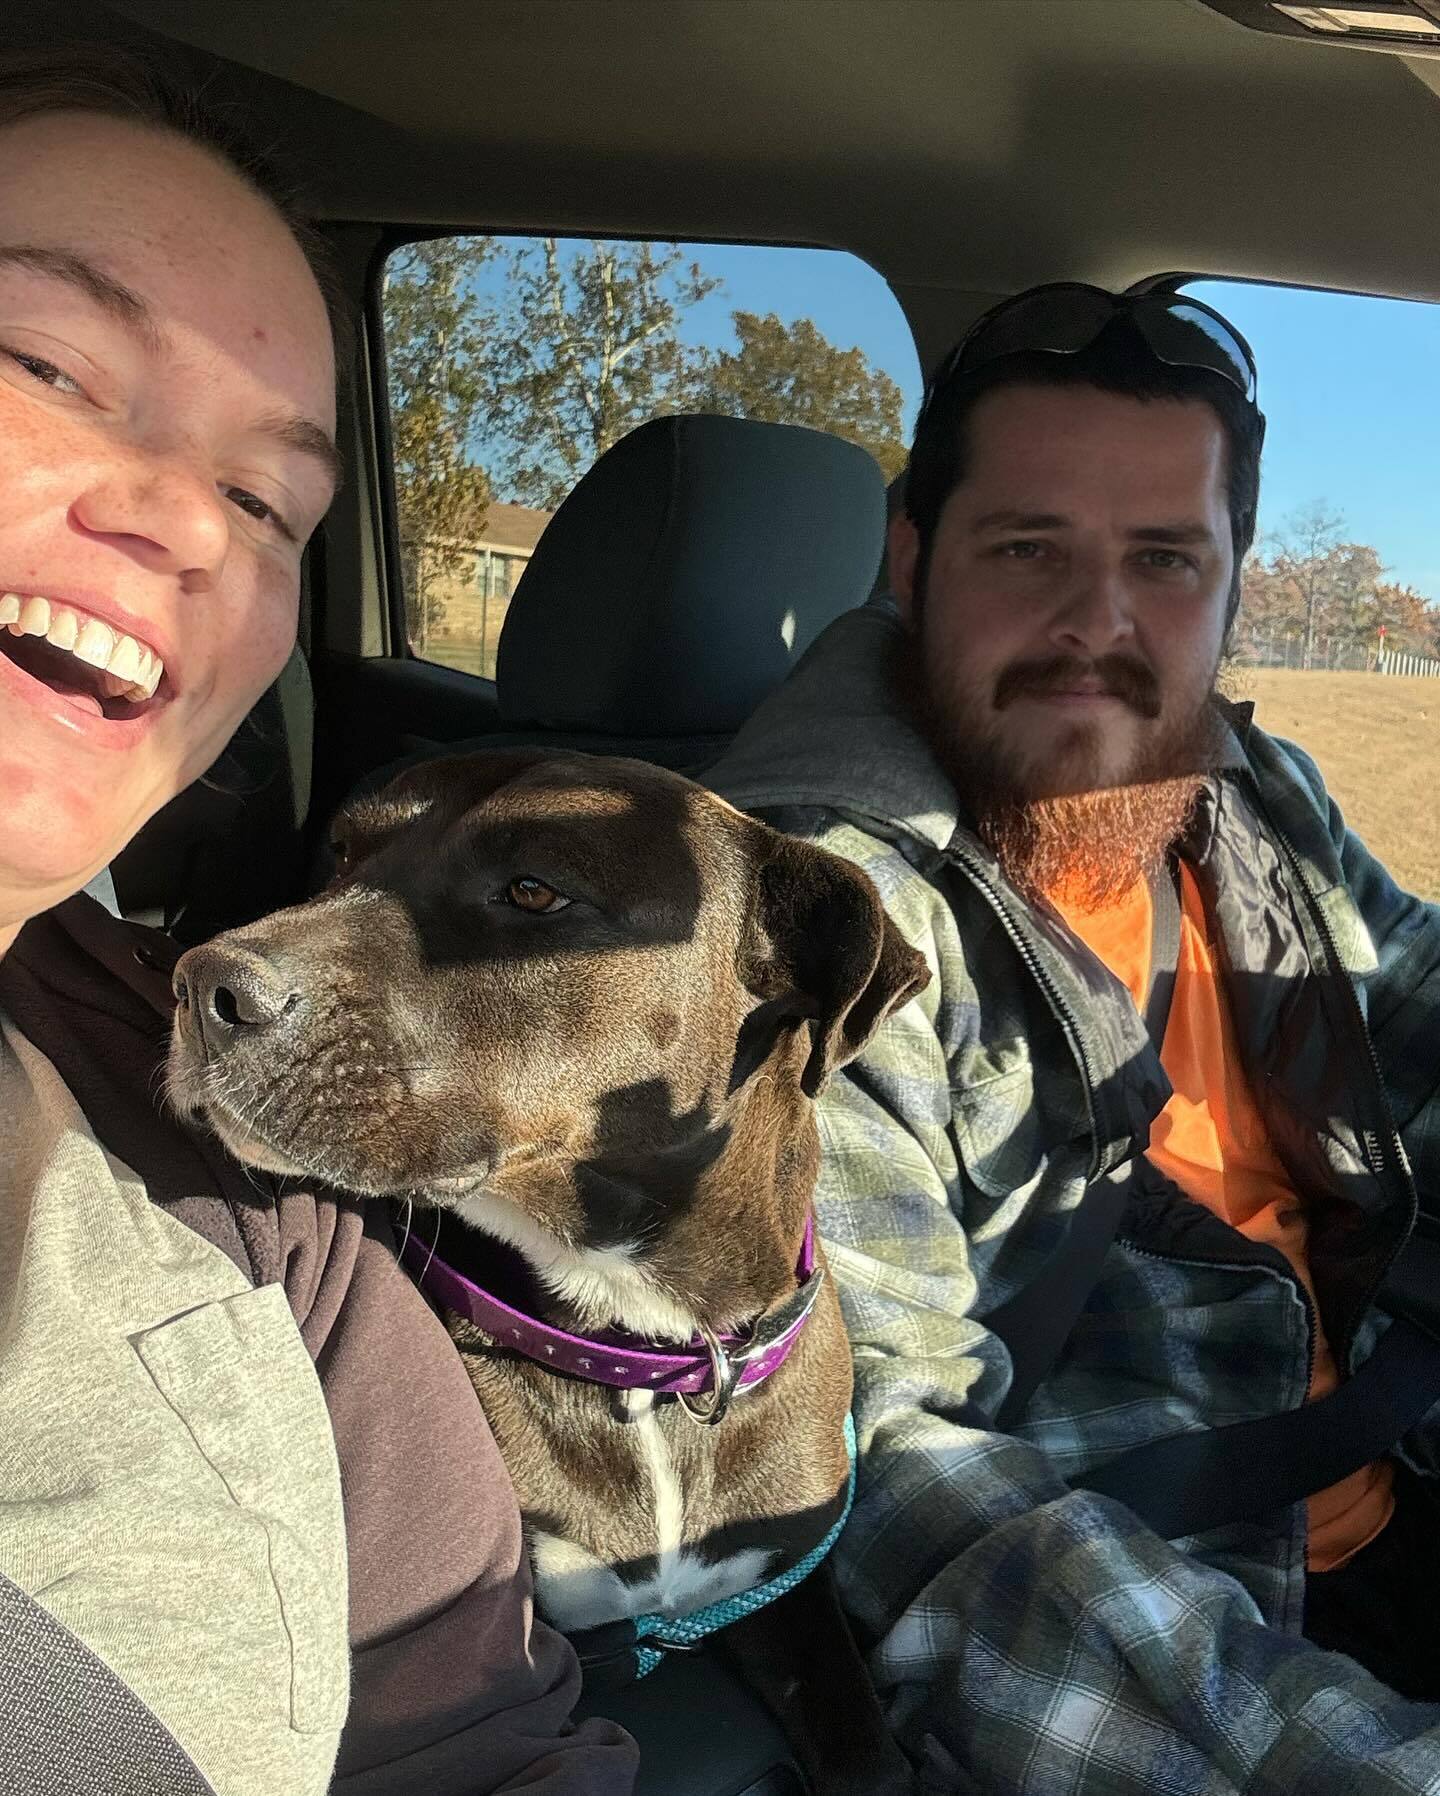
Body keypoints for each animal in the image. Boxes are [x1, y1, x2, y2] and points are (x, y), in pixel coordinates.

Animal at [168, 750, 926, 1788]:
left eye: (535, 890)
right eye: (343, 851)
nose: (202, 982)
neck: (649, 1360)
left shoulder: (790, 1593)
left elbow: (868, 1748)